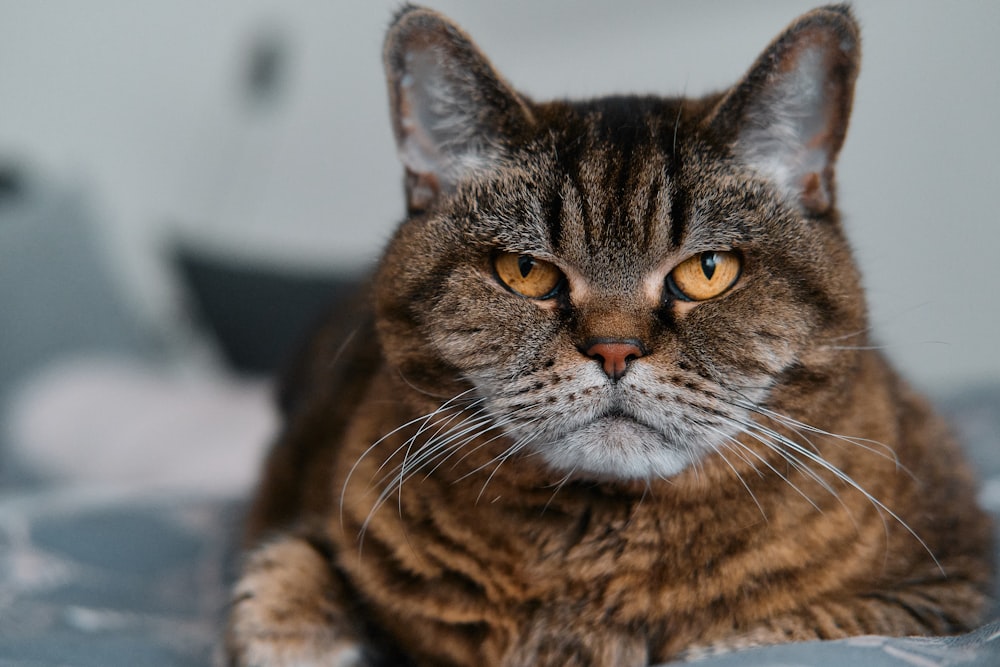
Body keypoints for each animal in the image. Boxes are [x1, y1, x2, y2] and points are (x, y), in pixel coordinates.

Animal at [225, 5, 992, 667]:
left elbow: (764, 629)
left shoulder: (948, 588)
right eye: (526, 270)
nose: (615, 350)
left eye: (708, 270)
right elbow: (281, 573)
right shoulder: (302, 492)